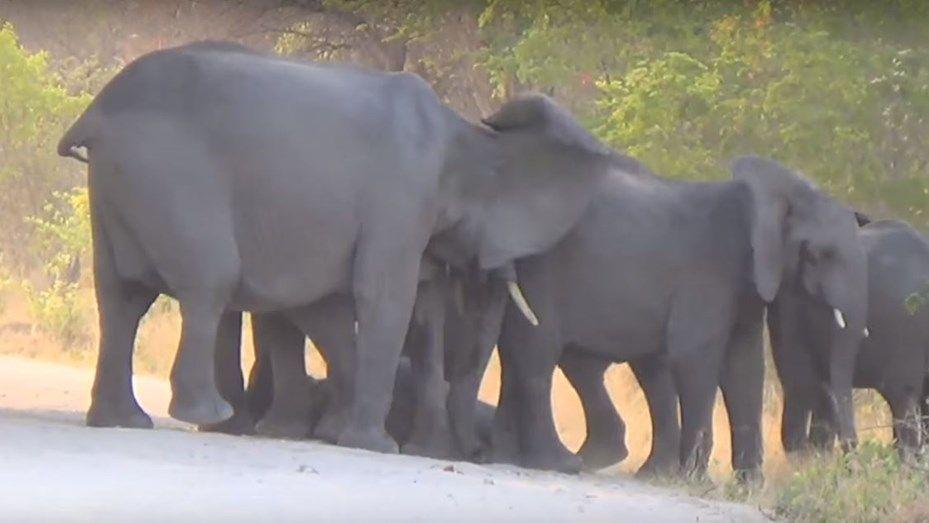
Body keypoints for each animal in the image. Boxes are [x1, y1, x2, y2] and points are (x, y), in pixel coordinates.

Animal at [57, 42, 612, 454]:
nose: (470, 451)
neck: (467, 136)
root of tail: (93, 114)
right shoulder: (401, 196)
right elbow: (383, 296)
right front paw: (374, 446)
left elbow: (325, 308)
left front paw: (335, 434)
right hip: (171, 177)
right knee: (207, 282)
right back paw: (206, 414)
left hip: (115, 187)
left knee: (121, 298)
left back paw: (121, 420)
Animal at [490, 155, 867, 477]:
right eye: (819, 255)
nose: (847, 462)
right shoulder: (709, 274)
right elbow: (694, 358)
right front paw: (694, 480)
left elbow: (744, 367)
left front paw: (748, 484)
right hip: (540, 269)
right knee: (538, 351)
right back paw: (556, 462)